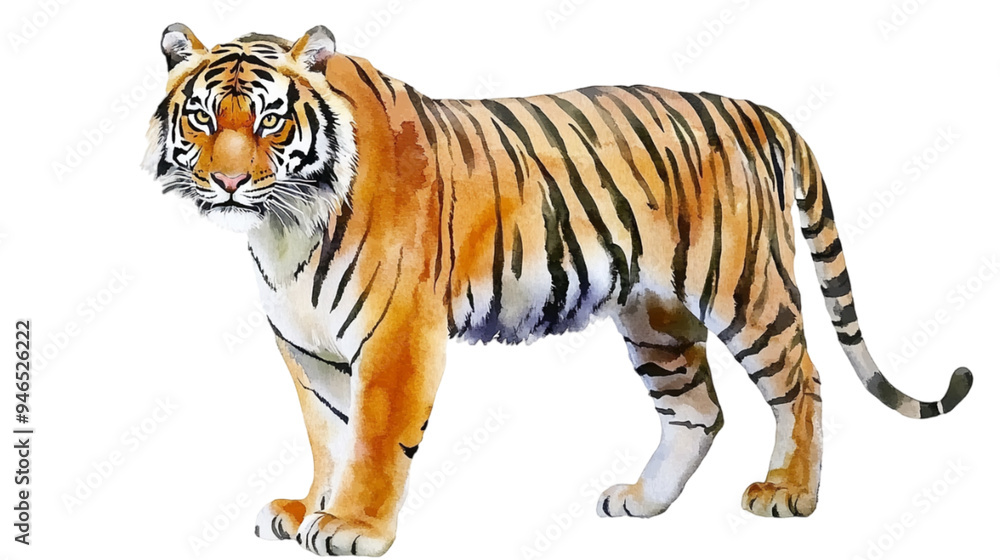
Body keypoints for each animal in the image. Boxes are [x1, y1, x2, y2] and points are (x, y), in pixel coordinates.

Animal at [144, 23, 973, 557]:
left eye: (271, 123)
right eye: (203, 118)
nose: (229, 182)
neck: (284, 227)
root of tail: (755, 110)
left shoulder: (397, 333)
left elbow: (374, 437)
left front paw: (352, 529)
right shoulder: (307, 345)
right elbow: (329, 434)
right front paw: (308, 509)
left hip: (744, 290)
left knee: (802, 382)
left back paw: (789, 493)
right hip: (655, 318)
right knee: (698, 410)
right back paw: (642, 501)